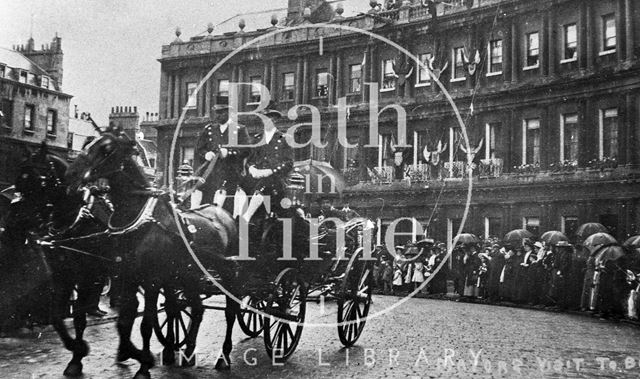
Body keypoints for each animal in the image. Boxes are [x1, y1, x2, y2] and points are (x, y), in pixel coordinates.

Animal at [67, 133, 239, 378]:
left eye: (106, 149)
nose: (71, 174)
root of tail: (222, 212)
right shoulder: (128, 277)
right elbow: (125, 320)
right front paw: (133, 354)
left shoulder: (152, 280)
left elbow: (145, 324)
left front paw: (143, 366)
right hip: (190, 275)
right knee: (197, 309)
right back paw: (188, 352)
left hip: (226, 272)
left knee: (231, 311)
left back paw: (223, 356)